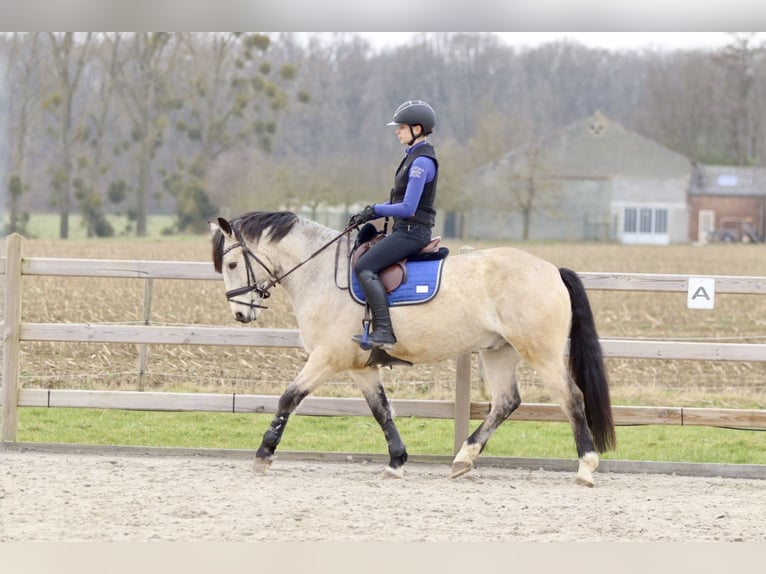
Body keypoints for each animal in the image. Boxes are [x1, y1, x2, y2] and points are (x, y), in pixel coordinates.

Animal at [210, 210, 616, 486]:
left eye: (230, 263)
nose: (240, 313)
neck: (322, 272)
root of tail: (551, 270)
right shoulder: (361, 367)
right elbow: (382, 412)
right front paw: (396, 461)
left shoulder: (327, 357)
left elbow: (288, 398)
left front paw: (263, 455)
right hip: (497, 351)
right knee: (505, 402)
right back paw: (463, 458)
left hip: (540, 352)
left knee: (571, 398)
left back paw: (586, 466)